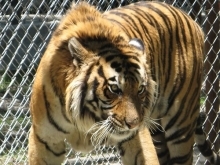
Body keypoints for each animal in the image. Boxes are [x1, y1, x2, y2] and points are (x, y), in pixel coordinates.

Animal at [27, 1, 205, 165]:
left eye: (140, 89)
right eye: (114, 89)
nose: (134, 124)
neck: (86, 119)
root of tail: (189, 17)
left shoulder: (136, 138)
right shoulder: (44, 140)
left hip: (180, 124)